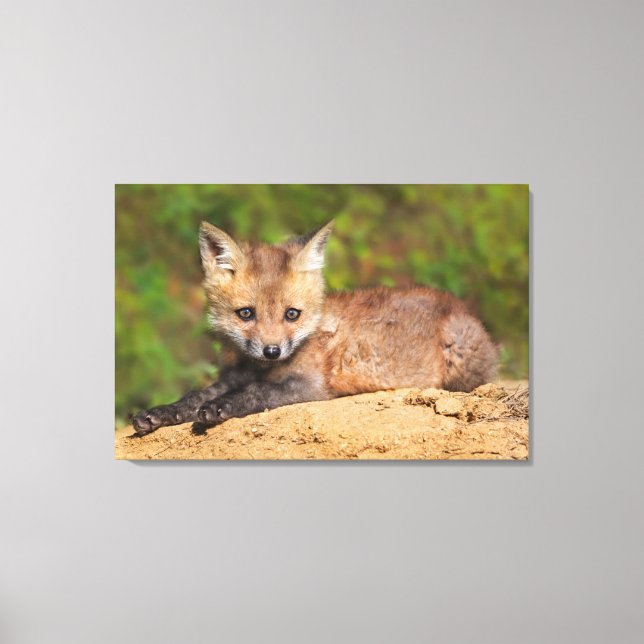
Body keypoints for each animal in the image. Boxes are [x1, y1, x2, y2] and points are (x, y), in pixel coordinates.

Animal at [132, 221, 498, 435]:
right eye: (246, 313)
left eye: (292, 314)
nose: (272, 350)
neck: (259, 367)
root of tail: (460, 305)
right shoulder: (232, 376)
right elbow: (194, 395)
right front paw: (160, 412)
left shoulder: (310, 387)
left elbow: (257, 392)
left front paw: (220, 408)